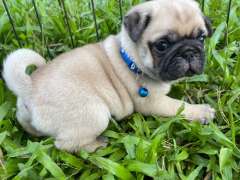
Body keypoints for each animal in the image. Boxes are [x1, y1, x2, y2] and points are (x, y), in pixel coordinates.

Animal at [2, 0, 215, 152]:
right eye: (162, 45)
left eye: (201, 38)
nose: (189, 52)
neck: (130, 57)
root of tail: (29, 87)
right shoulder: (153, 103)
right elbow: (179, 107)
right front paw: (201, 112)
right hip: (96, 114)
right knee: (63, 144)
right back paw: (96, 145)